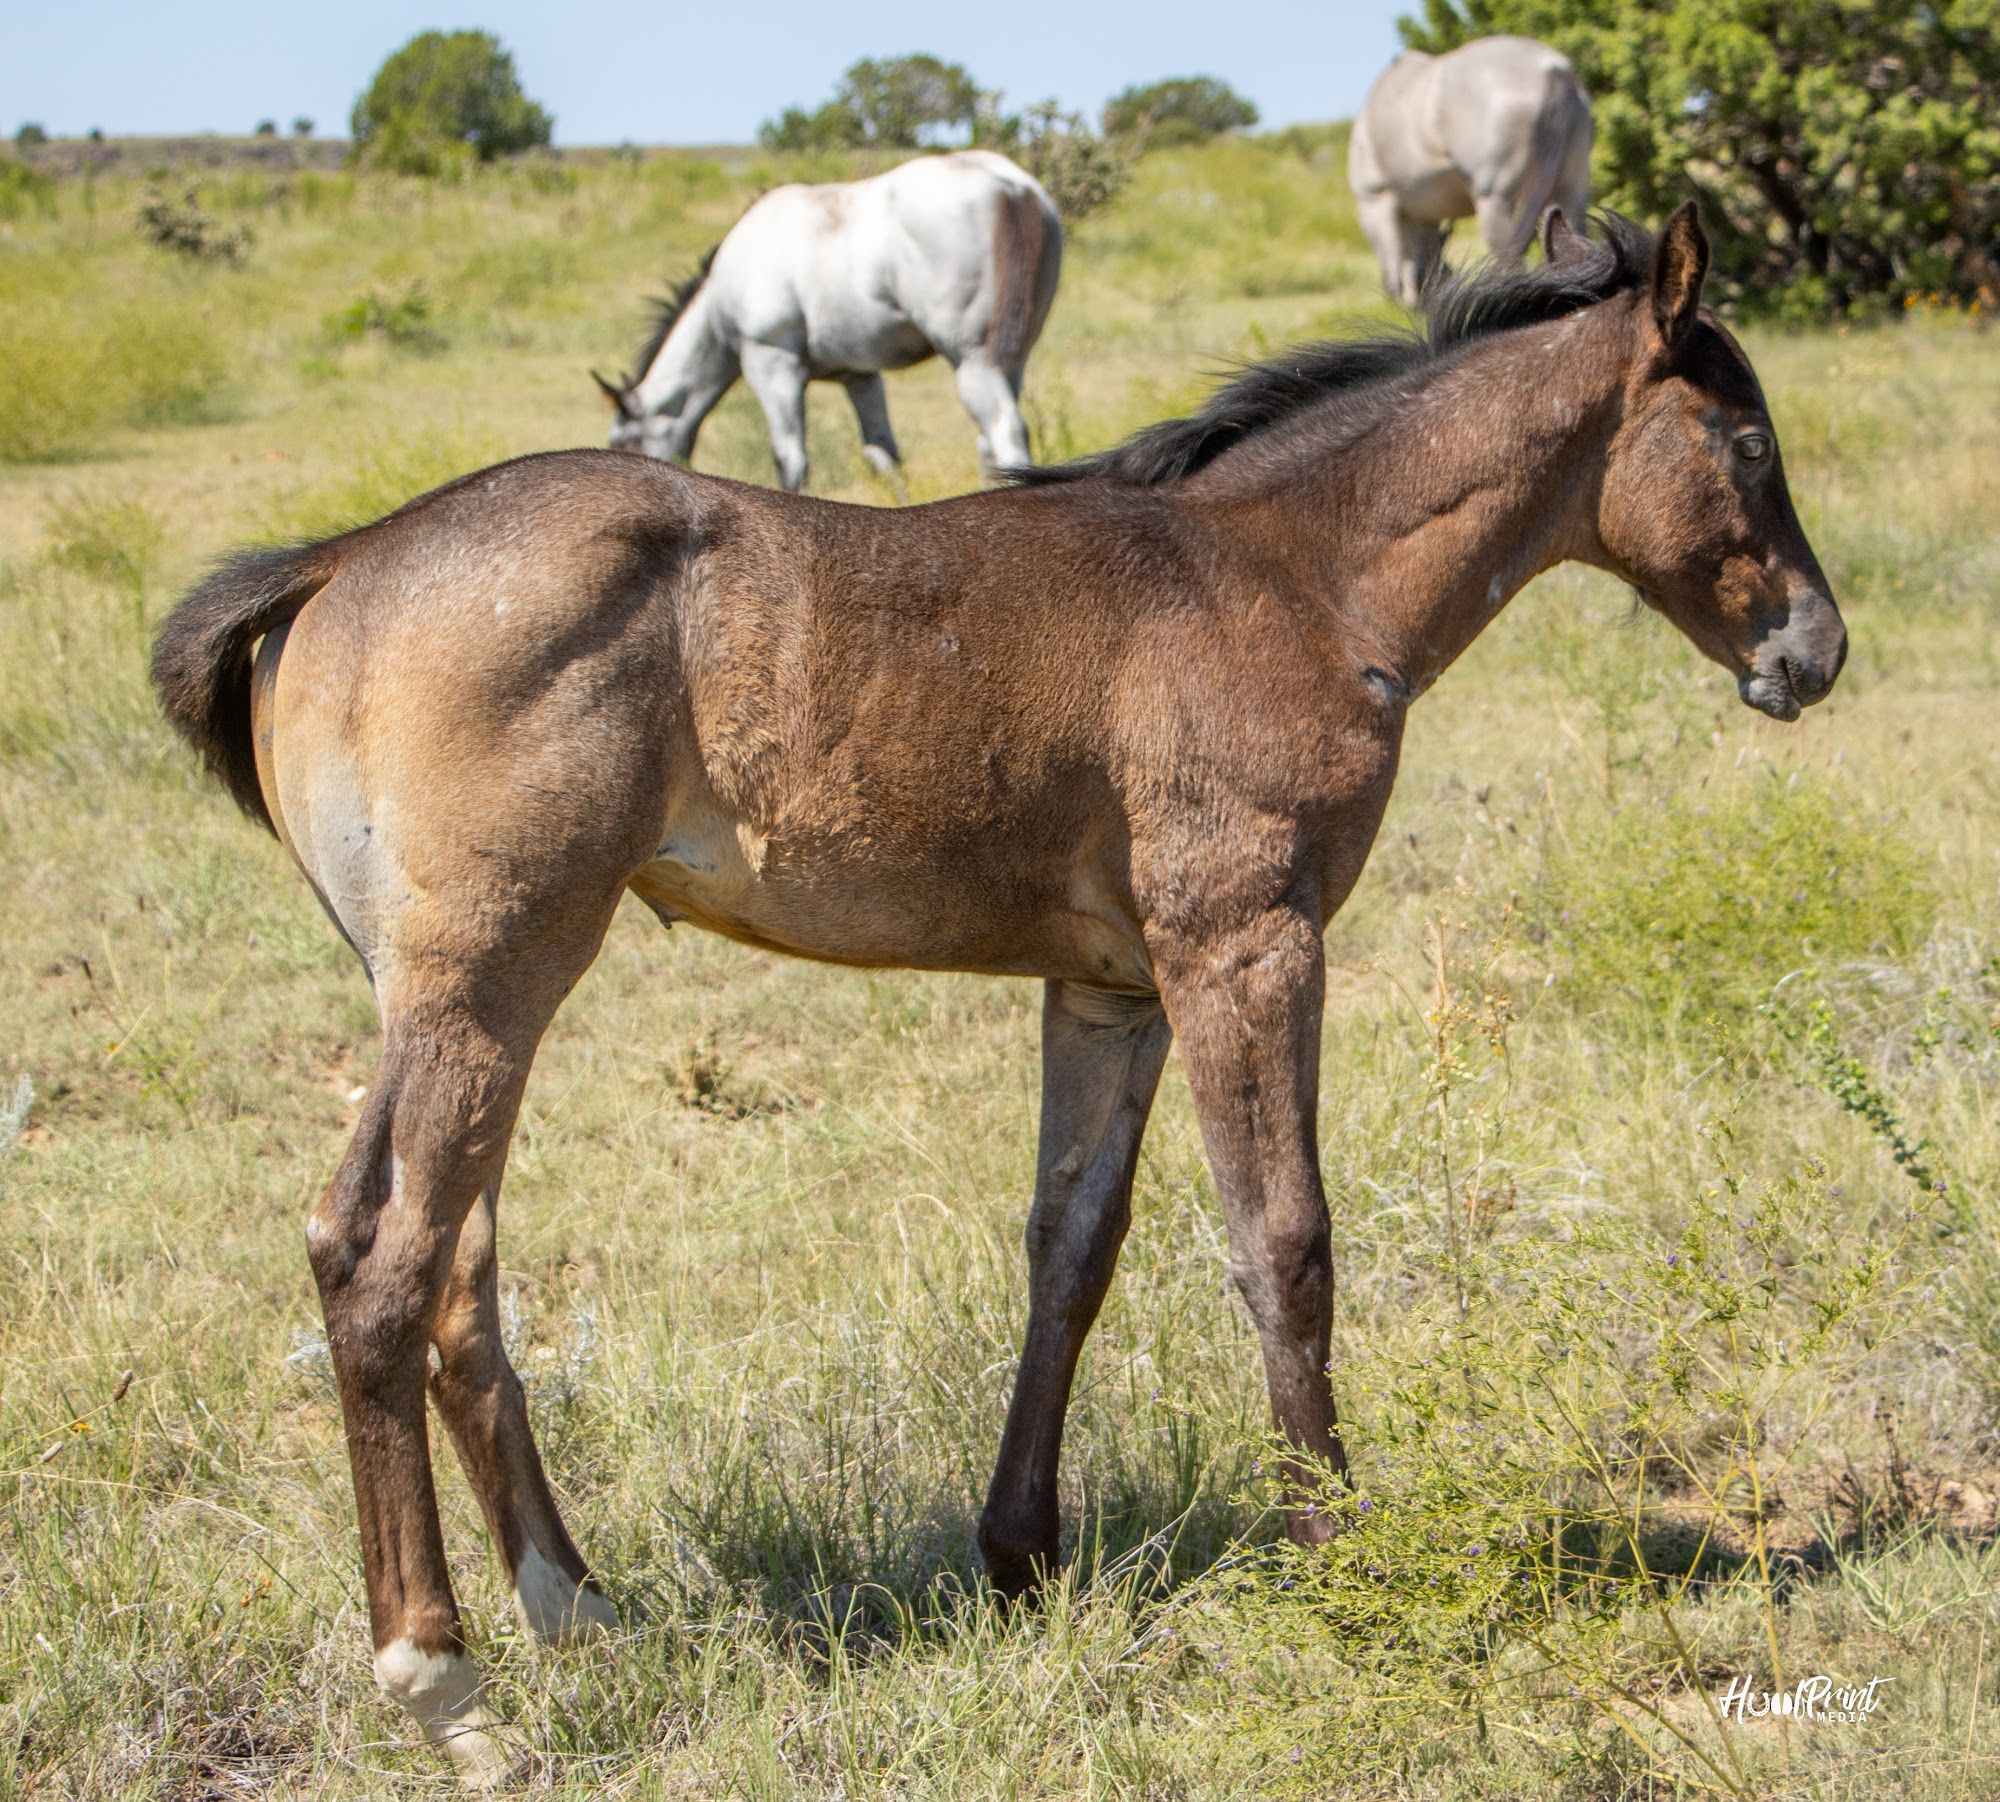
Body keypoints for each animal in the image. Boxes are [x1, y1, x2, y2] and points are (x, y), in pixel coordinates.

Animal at [153, 206, 1844, 1784]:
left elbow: (1070, 1248)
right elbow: (1284, 1240)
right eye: (1750, 437)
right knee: (380, 1269)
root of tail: (337, 560)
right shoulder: (1246, 944)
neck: (1292, 575)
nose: (1816, 650)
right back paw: (452, 1690)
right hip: (489, 987)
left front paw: (1020, 1553)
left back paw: (581, 1611)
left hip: (444, 1002)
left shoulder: (1110, 990)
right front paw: (1336, 1551)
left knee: (445, 1277)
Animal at [593, 149, 1062, 491]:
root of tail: (1014, 189)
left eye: (624, 441)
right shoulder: (860, 376)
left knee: (1005, 433)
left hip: (972, 361)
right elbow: (885, 457)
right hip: (1010, 361)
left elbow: (790, 460)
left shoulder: (772, 363)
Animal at [1350, 35, 1594, 305]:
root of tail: (1553, 70)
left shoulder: (1375, 202)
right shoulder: (1423, 215)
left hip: (1495, 200)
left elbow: (1395, 274)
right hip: (1572, 190)